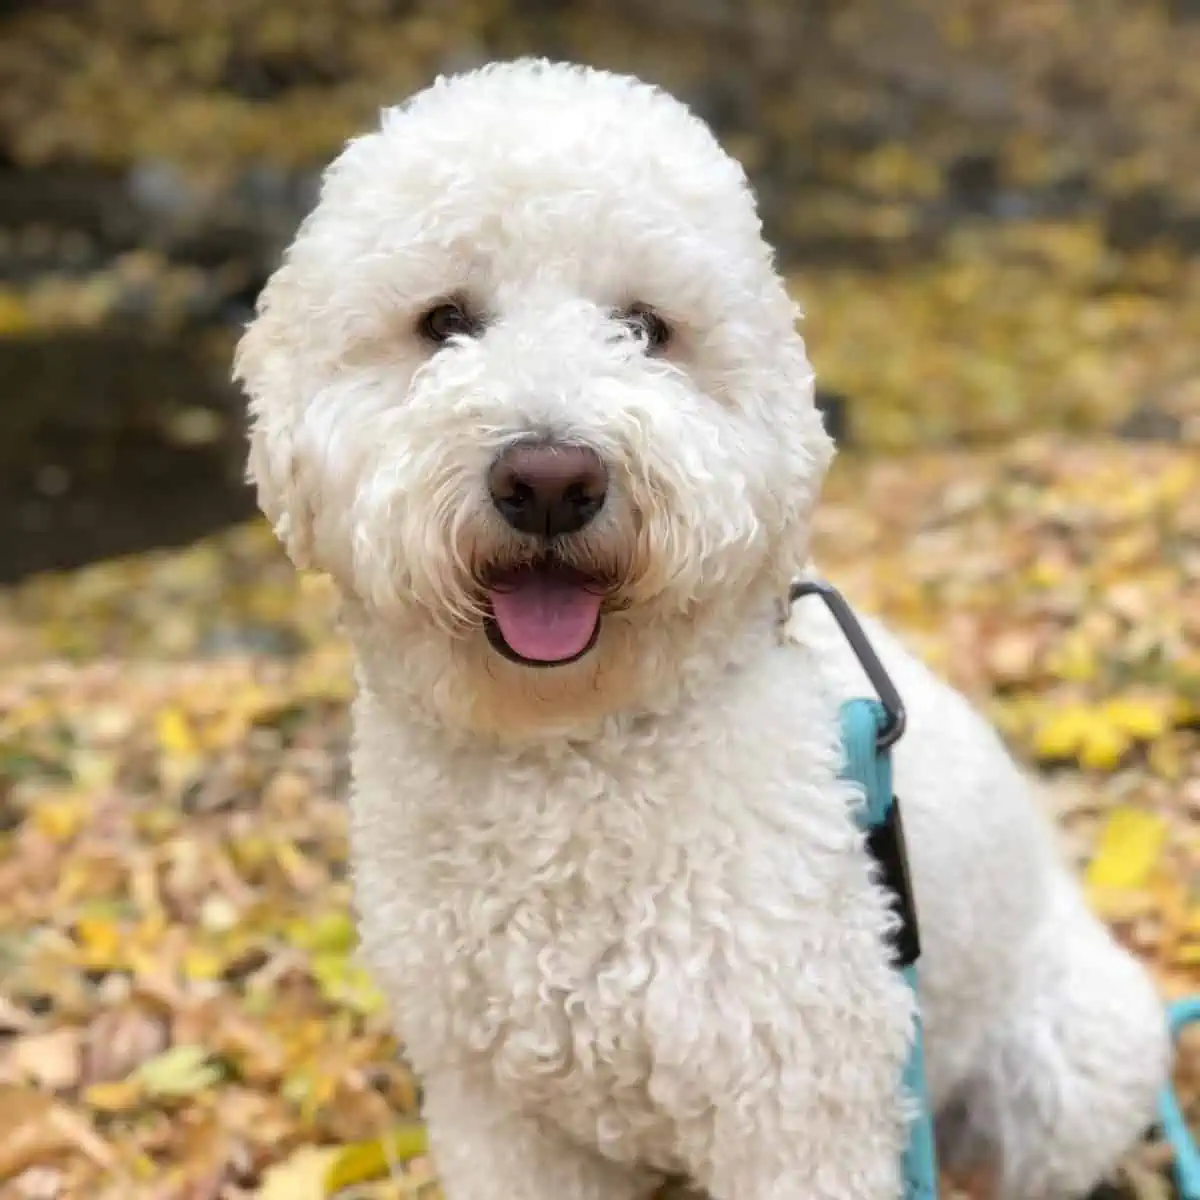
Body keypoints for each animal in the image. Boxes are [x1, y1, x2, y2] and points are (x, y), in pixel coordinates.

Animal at [234, 60, 1171, 1200]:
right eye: (443, 321)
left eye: (646, 327)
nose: (550, 479)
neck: (568, 754)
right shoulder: (498, 1112)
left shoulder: (798, 1110)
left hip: (1066, 1068)